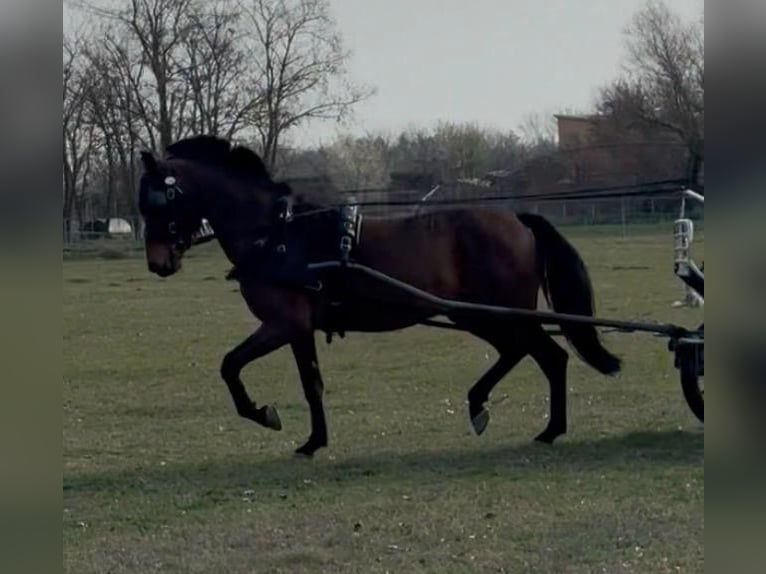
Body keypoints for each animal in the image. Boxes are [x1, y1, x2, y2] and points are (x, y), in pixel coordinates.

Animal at [137, 135, 621, 457]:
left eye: (160, 199)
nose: (158, 263)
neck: (277, 234)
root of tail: (517, 219)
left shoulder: (285, 324)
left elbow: (243, 368)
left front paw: (279, 423)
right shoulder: (295, 327)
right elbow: (289, 377)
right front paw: (307, 434)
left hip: (500, 313)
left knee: (546, 355)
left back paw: (537, 425)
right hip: (476, 316)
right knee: (531, 354)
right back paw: (502, 412)